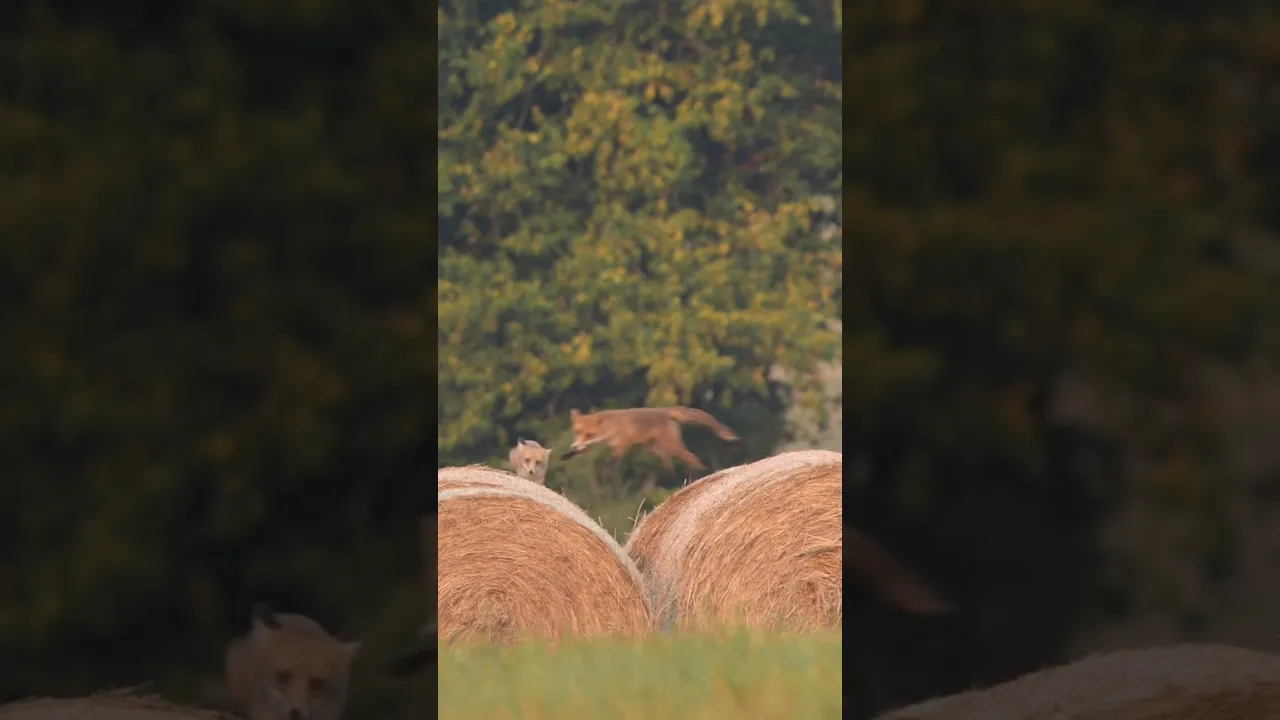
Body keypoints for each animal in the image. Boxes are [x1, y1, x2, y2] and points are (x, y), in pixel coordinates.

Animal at [562, 406, 740, 477]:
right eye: (578, 432)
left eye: (589, 434)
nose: (575, 444)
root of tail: (665, 410)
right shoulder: (594, 446)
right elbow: (578, 452)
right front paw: (566, 455)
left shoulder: (622, 445)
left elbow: (613, 462)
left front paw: (609, 472)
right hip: (656, 448)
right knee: (670, 463)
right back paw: (670, 473)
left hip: (671, 447)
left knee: (691, 457)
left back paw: (699, 471)